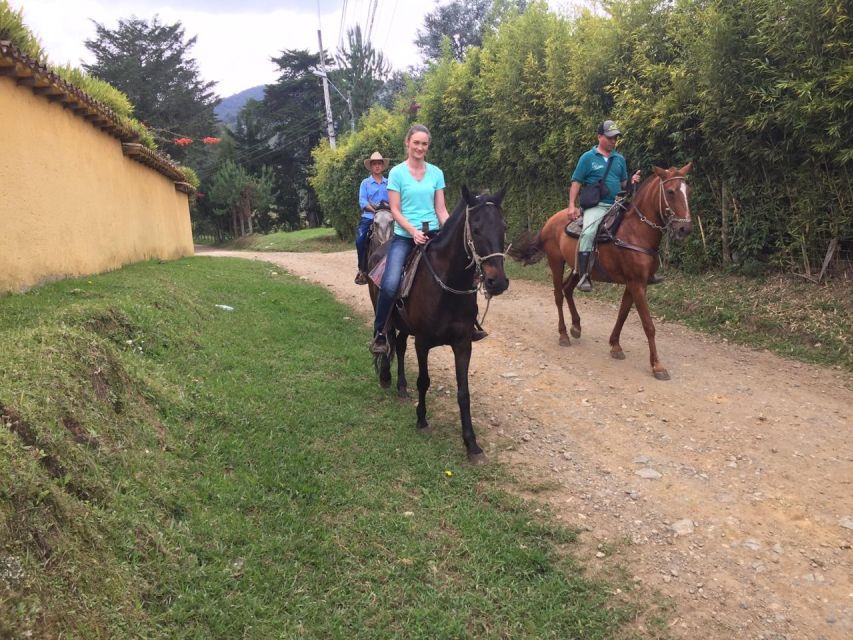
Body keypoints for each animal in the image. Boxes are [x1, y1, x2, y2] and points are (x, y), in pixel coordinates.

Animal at [364, 188, 506, 462]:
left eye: (503, 227)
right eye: (475, 228)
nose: (498, 282)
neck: (447, 285)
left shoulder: (463, 344)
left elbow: (464, 393)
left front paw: (472, 444)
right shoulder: (423, 342)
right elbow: (424, 380)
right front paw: (421, 420)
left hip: (404, 326)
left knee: (399, 346)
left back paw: (401, 387)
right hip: (384, 311)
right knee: (385, 339)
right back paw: (386, 376)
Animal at [510, 162, 688, 380]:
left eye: (687, 191)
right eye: (670, 192)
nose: (685, 229)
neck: (636, 232)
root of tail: (550, 221)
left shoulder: (635, 283)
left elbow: (622, 314)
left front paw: (615, 345)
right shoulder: (637, 284)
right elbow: (648, 325)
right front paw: (657, 366)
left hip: (578, 267)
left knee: (568, 289)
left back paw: (576, 326)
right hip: (556, 262)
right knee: (558, 295)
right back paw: (563, 334)